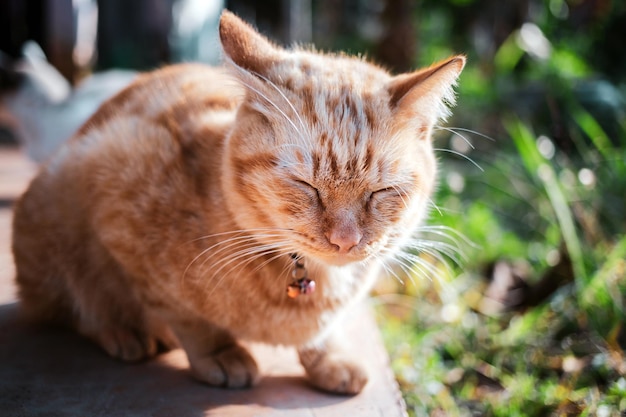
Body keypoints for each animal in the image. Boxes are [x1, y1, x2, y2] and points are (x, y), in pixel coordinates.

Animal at [11, 10, 464, 394]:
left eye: (380, 192)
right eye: (306, 186)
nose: (345, 241)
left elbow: (324, 334)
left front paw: (331, 356)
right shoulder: (116, 190)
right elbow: (183, 315)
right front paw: (220, 352)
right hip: (55, 205)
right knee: (75, 306)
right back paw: (123, 332)